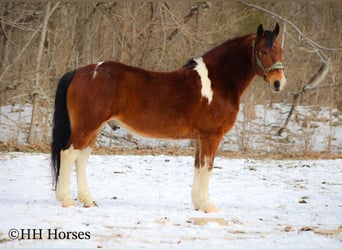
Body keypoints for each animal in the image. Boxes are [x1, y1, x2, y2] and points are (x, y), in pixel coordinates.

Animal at [50, 23, 286, 212]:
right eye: (263, 51)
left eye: (280, 50)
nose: (278, 83)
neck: (218, 82)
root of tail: (79, 71)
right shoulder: (212, 137)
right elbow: (207, 167)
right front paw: (207, 206)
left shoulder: (201, 138)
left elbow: (199, 166)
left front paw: (198, 204)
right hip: (86, 126)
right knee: (68, 154)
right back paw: (66, 200)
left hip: (94, 128)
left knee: (81, 159)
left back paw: (88, 200)